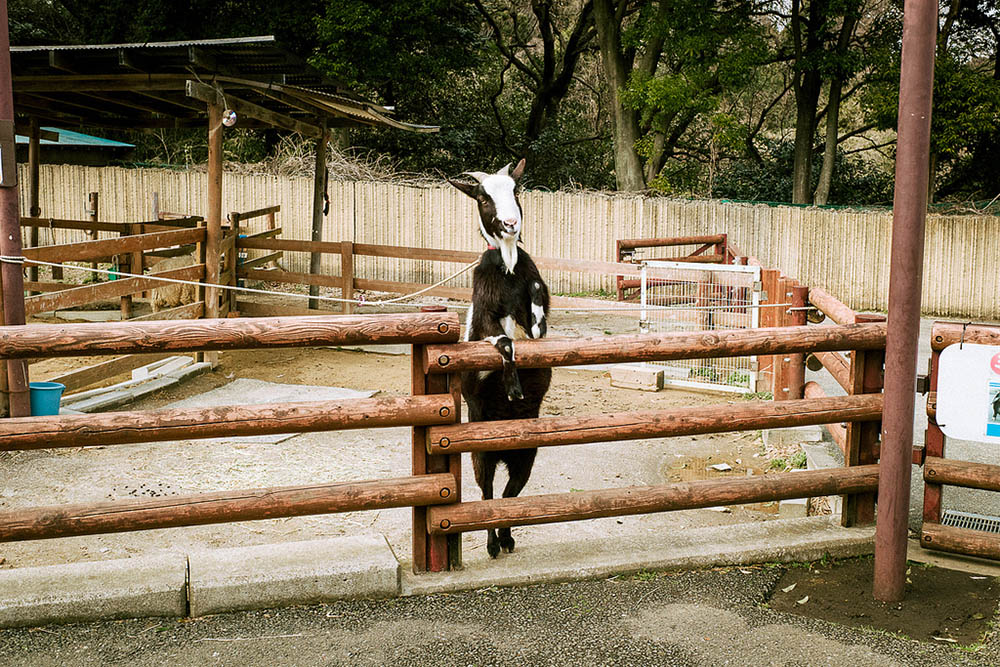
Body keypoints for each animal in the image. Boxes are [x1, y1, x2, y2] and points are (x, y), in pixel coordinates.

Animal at [450, 158, 552, 560]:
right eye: (482, 197)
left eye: (516, 190)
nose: (510, 224)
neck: (507, 268)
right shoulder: (483, 319)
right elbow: (505, 341)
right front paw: (513, 389)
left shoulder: (538, 317)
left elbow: (538, 307)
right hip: (483, 450)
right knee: (488, 492)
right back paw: (494, 544)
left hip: (527, 454)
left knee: (511, 493)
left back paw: (507, 539)